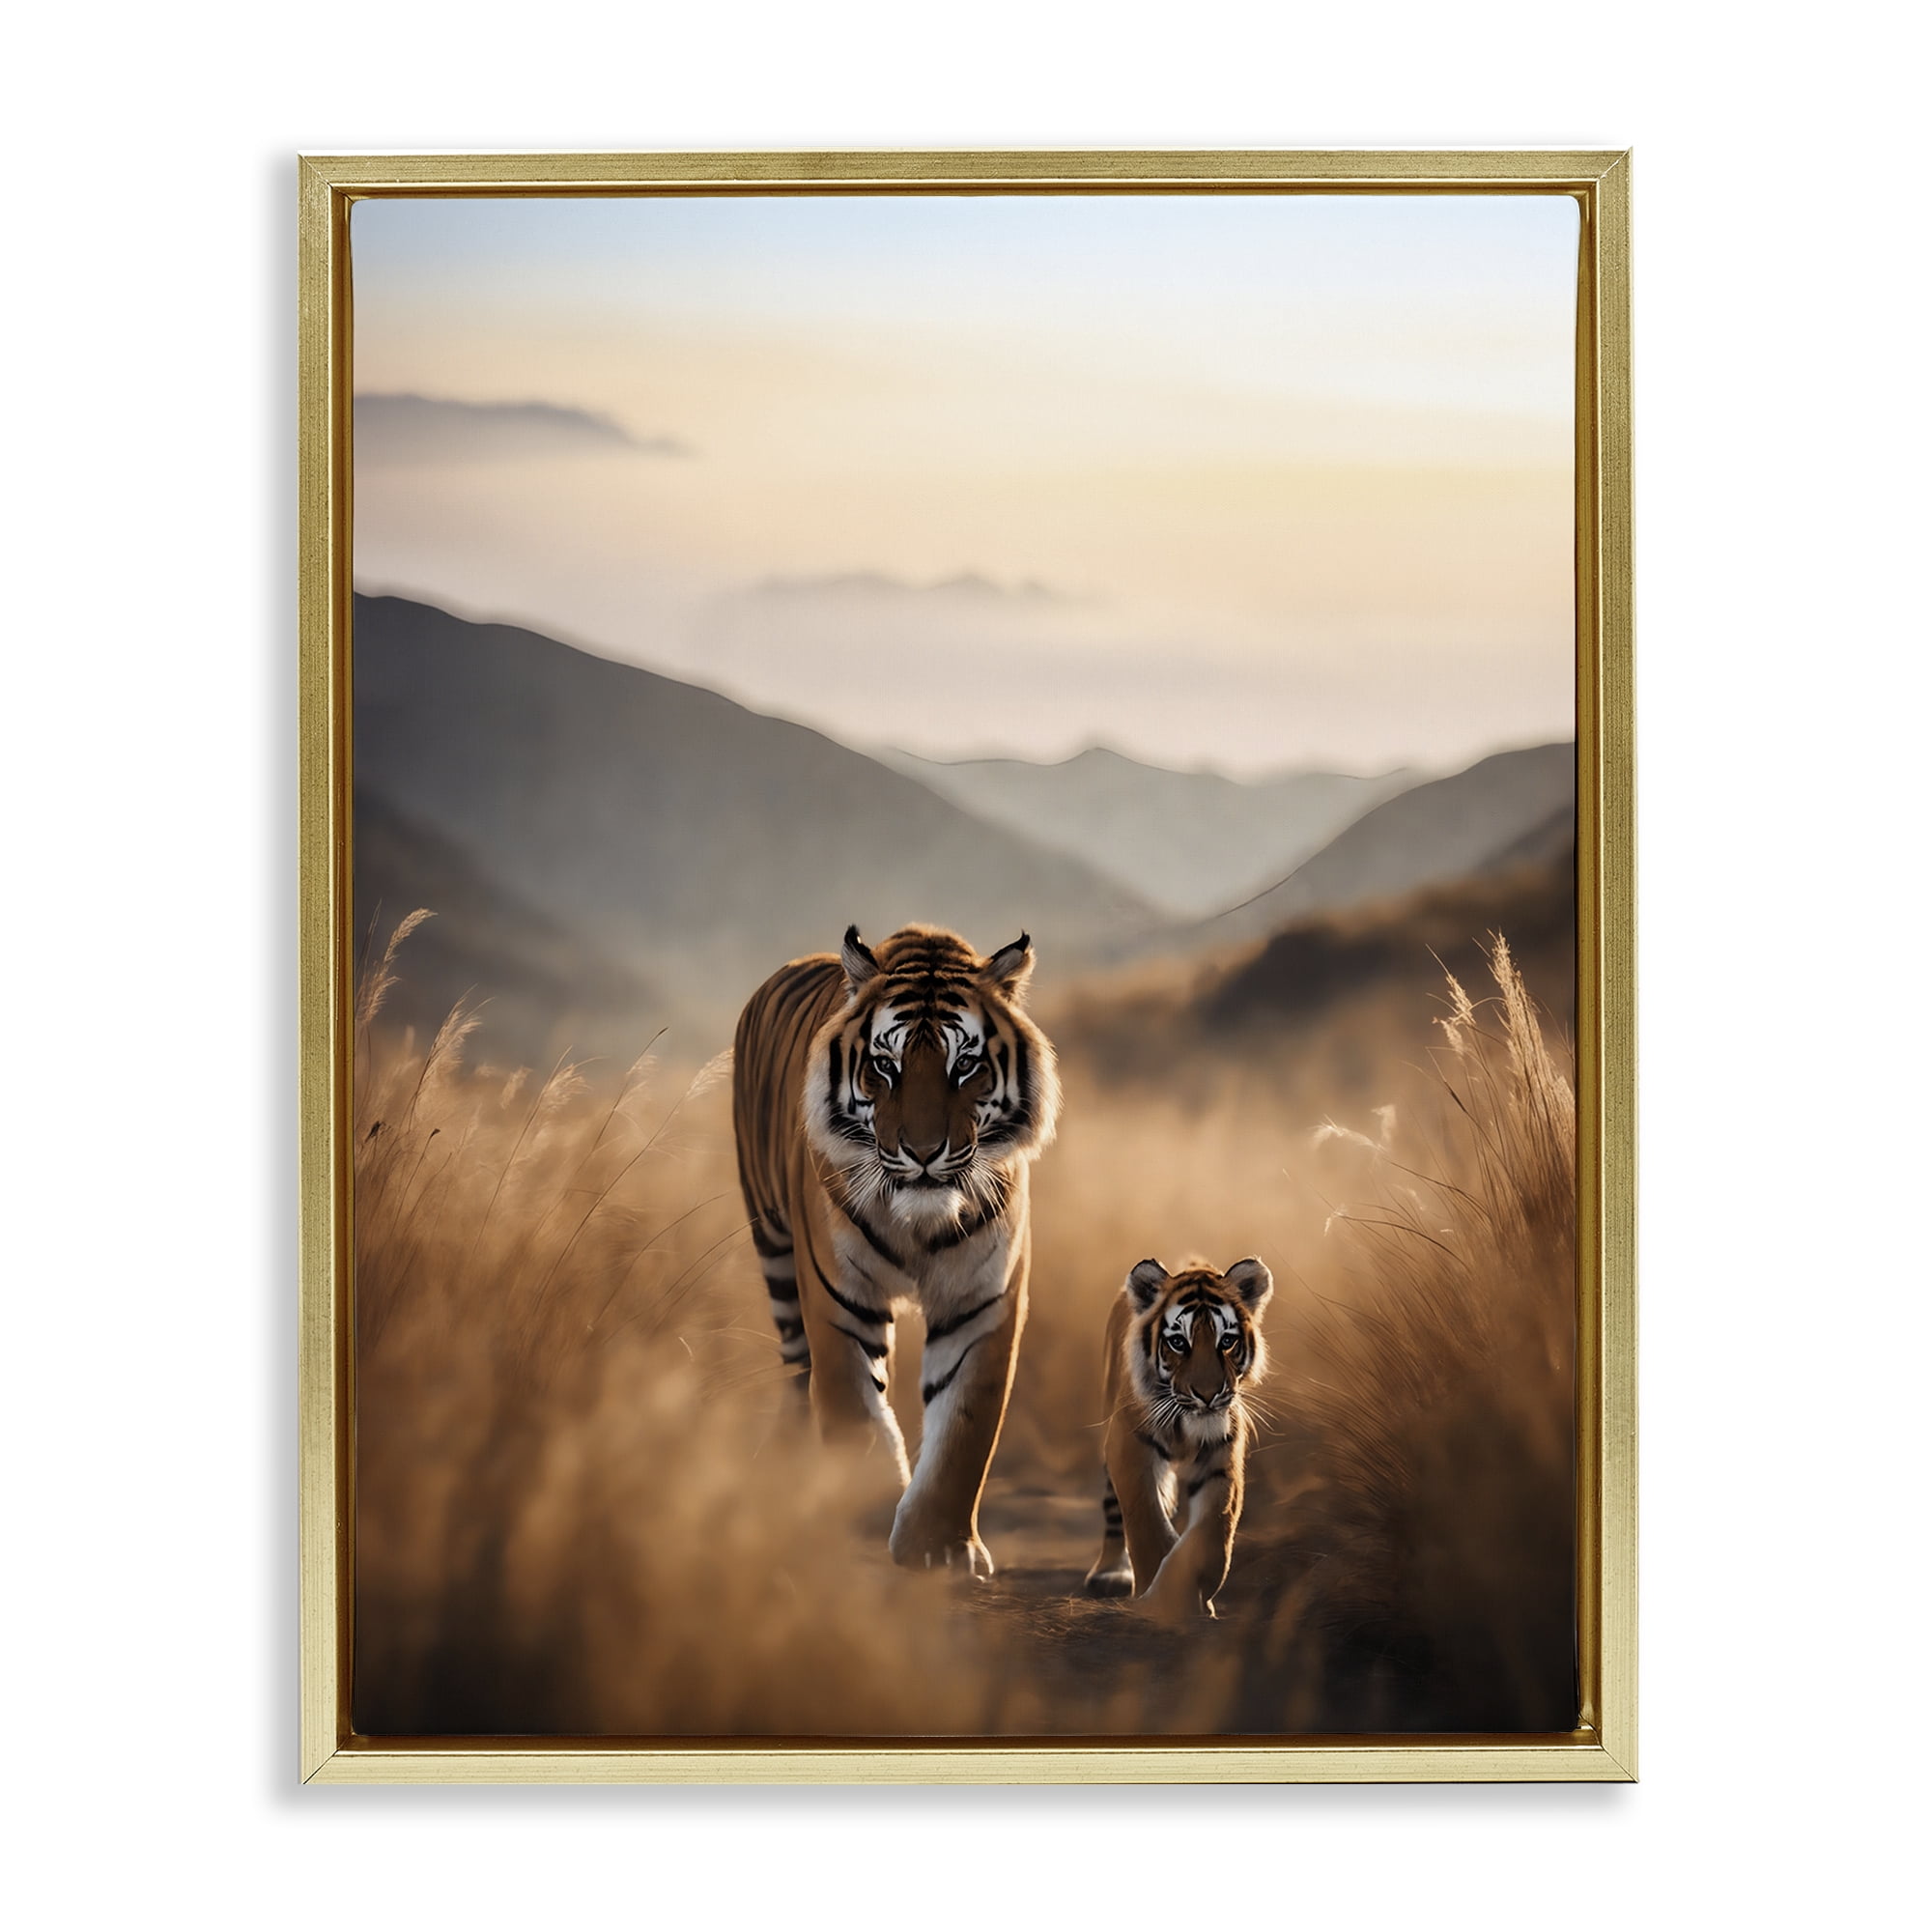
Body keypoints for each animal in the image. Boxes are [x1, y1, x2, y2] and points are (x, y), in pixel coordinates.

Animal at [732, 922, 1061, 1577]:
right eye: (885, 1066)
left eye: (966, 1065)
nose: (924, 1151)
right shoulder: (839, 1299)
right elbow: (854, 1411)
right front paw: (861, 1515)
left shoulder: (981, 1305)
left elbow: (965, 1432)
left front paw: (938, 1545)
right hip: (774, 1248)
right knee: (796, 1371)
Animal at [1083, 1255, 1274, 1619]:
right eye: (1178, 1343)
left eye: (1226, 1341)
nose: (1208, 1395)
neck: (1186, 1429)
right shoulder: (1130, 1451)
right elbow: (1149, 1528)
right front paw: (1159, 1601)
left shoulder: (1222, 1465)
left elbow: (1210, 1536)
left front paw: (1188, 1596)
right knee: (1113, 1512)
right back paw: (1109, 1573)